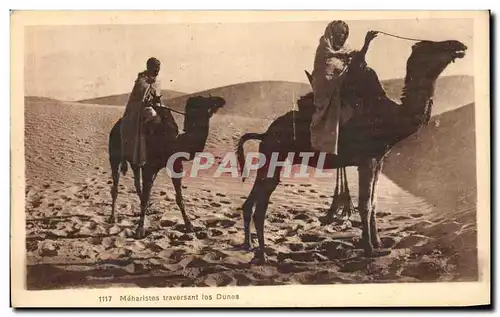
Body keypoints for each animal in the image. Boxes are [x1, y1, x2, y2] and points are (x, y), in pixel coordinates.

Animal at [110, 95, 228, 238]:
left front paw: (189, 225)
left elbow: (179, 198)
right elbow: (146, 196)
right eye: (204, 100)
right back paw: (112, 217)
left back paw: (147, 210)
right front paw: (140, 229)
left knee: (137, 183)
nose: (221, 100)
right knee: (116, 186)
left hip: (135, 162)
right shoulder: (149, 167)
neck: (174, 142)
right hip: (115, 157)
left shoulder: (176, 166)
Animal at [236, 39, 466, 262]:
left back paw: (250, 246)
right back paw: (263, 255)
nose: (459, 45)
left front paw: (379, 243)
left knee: (251, 201)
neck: (391, 117)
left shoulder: (379, 160)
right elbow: (364, 204)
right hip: (274, 156)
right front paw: (369, 250)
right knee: (261, 206)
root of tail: (264, 134)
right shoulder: (367, 160)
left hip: (268, 157)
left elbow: (373, 203)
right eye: (433, 46)